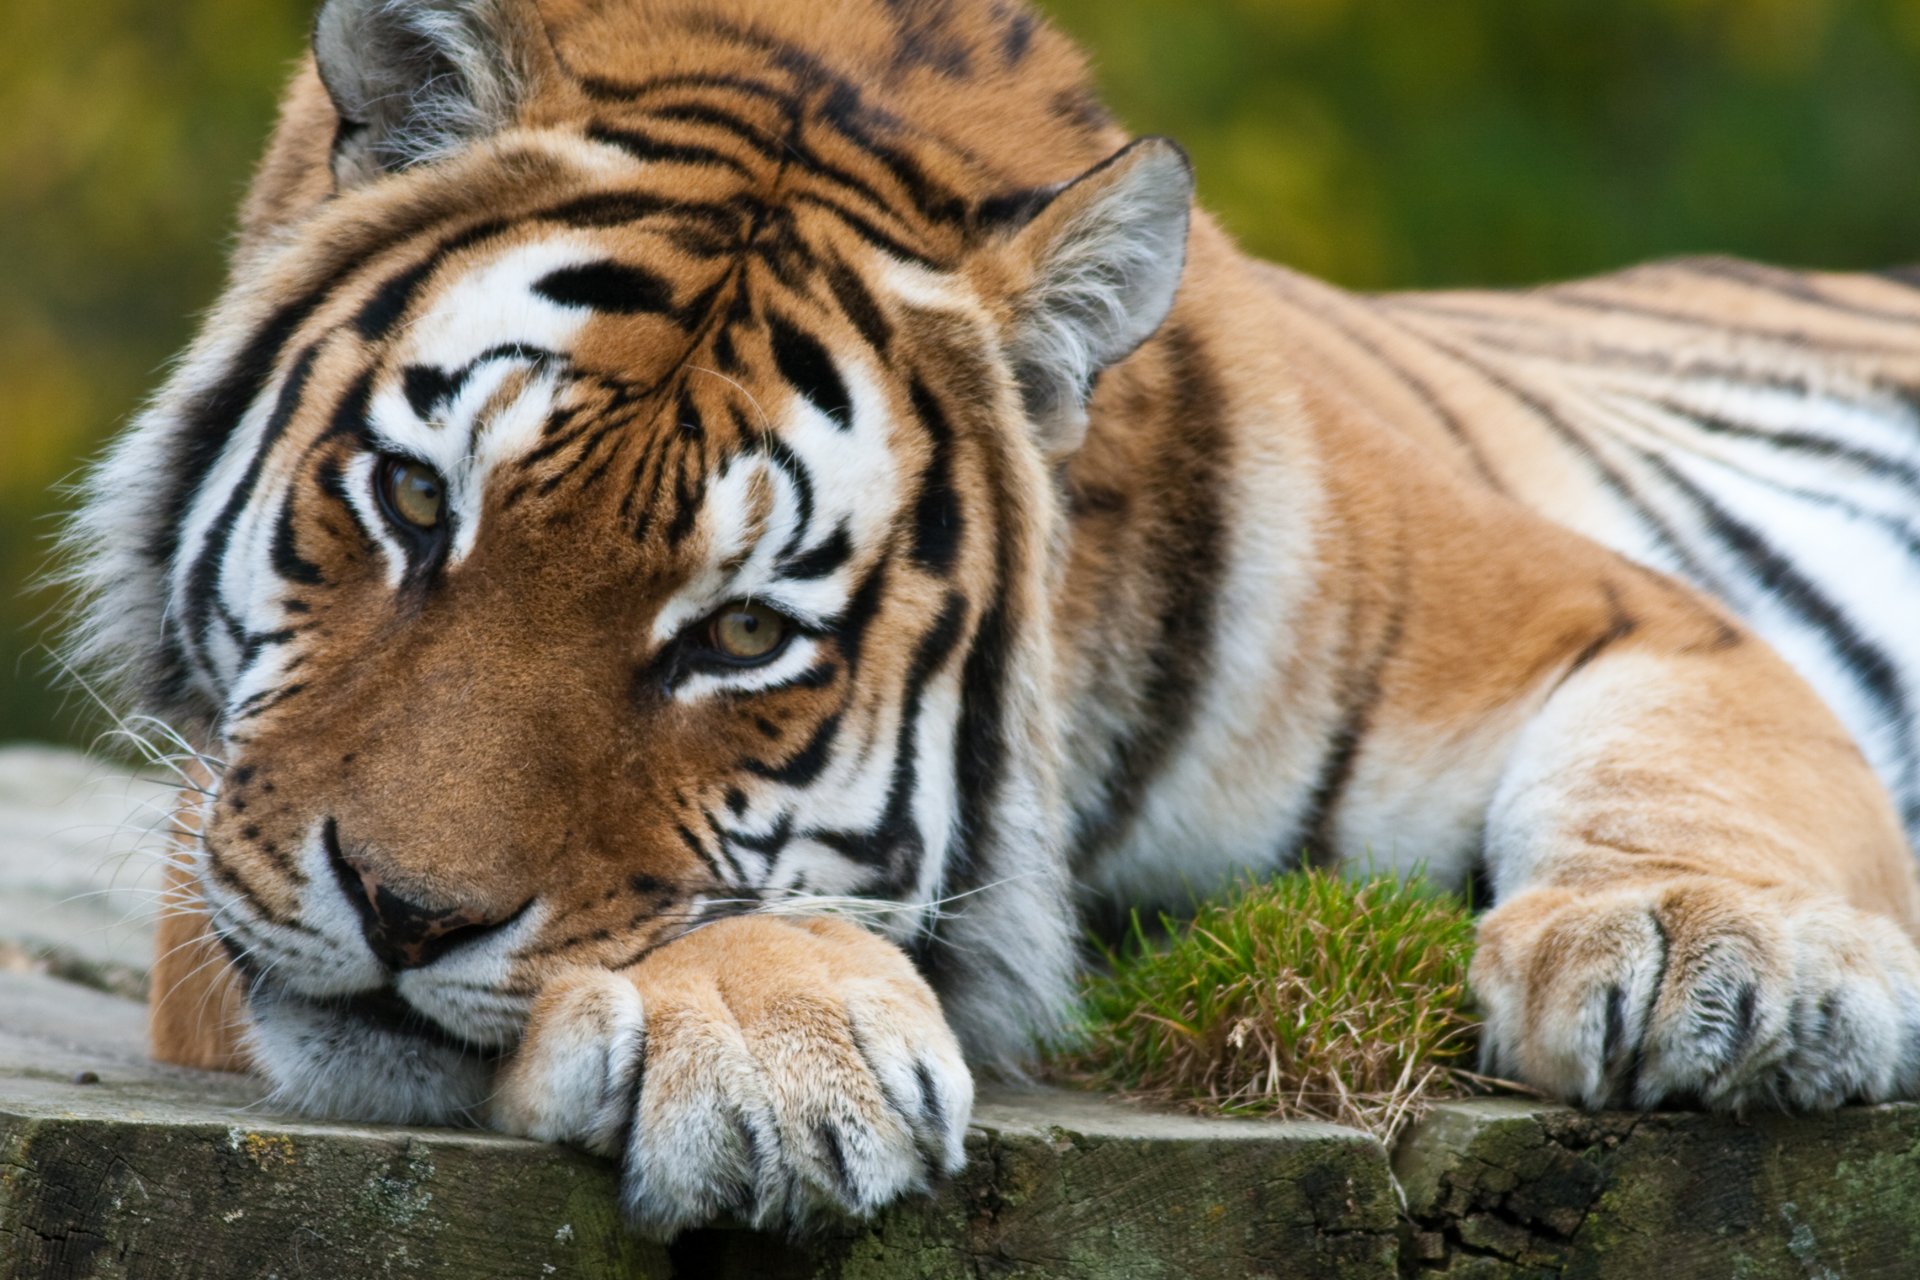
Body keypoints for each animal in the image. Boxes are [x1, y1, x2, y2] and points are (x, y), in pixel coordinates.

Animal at [67, 0, 1920, 1243]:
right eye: (415, 503)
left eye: (740, 638)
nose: (404, 913)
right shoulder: (213, 845)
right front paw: (776, 1043)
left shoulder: (1617, 614)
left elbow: (1684, 774)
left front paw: (1709, 956)